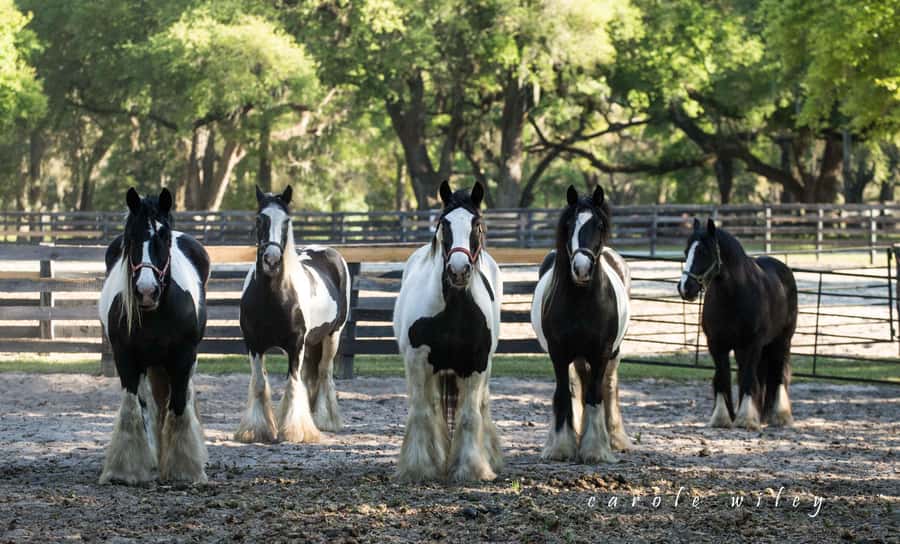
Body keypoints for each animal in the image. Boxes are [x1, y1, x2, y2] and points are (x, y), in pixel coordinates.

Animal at [98, 187, 210, 485]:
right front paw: (124, 470)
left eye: (165, 236)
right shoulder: (126, 357)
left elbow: (179, 404)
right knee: (151, 407)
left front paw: (185, 468)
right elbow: (132, 408)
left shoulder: (183, 357)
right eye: (130, 237)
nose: (146, 291)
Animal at [235, 185, 350, 444]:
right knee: (311, 375)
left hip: (333, 336)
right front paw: (256, 430)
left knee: (324, 373)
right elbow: (260, 383)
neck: (275, 297)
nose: (272, 260)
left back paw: (325, 420)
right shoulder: (253, 344)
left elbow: (293, 384)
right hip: (313, 342)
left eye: (286, 221)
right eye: (259, 219)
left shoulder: (296, 345)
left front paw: (295, 431)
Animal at [393, 181, 503, 482]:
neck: (453, 311)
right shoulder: (418, 362)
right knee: (432, 409)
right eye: (444, 224)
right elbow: (422, 413)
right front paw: (419, 467)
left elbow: (469, 417)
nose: (458, 271)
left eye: (477, 225)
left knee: (481, 407)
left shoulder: (476, 366)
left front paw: (471, 468)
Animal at [530, 185, 631, 463]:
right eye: (569, 225)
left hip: (613, 354)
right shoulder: (559, 353)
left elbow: (595, 395)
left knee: (608, 386)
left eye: (599, 225)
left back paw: (614, 438)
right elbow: (564, 394)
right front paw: (560, 447)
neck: (582, 301)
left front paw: (595, 449)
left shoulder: (602, 352)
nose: (581, 268)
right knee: (577, 387)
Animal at [677, 218, 798, 430]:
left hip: (781, 340)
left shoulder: (752, 344)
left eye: (703, 252)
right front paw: (722, 418)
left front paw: (746, 419)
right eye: (686, 252)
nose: (685, 288)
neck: (733, 296)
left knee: (778, 374)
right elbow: (723, 378)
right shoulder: (716, 345)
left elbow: (749, 379)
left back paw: (780, 415)